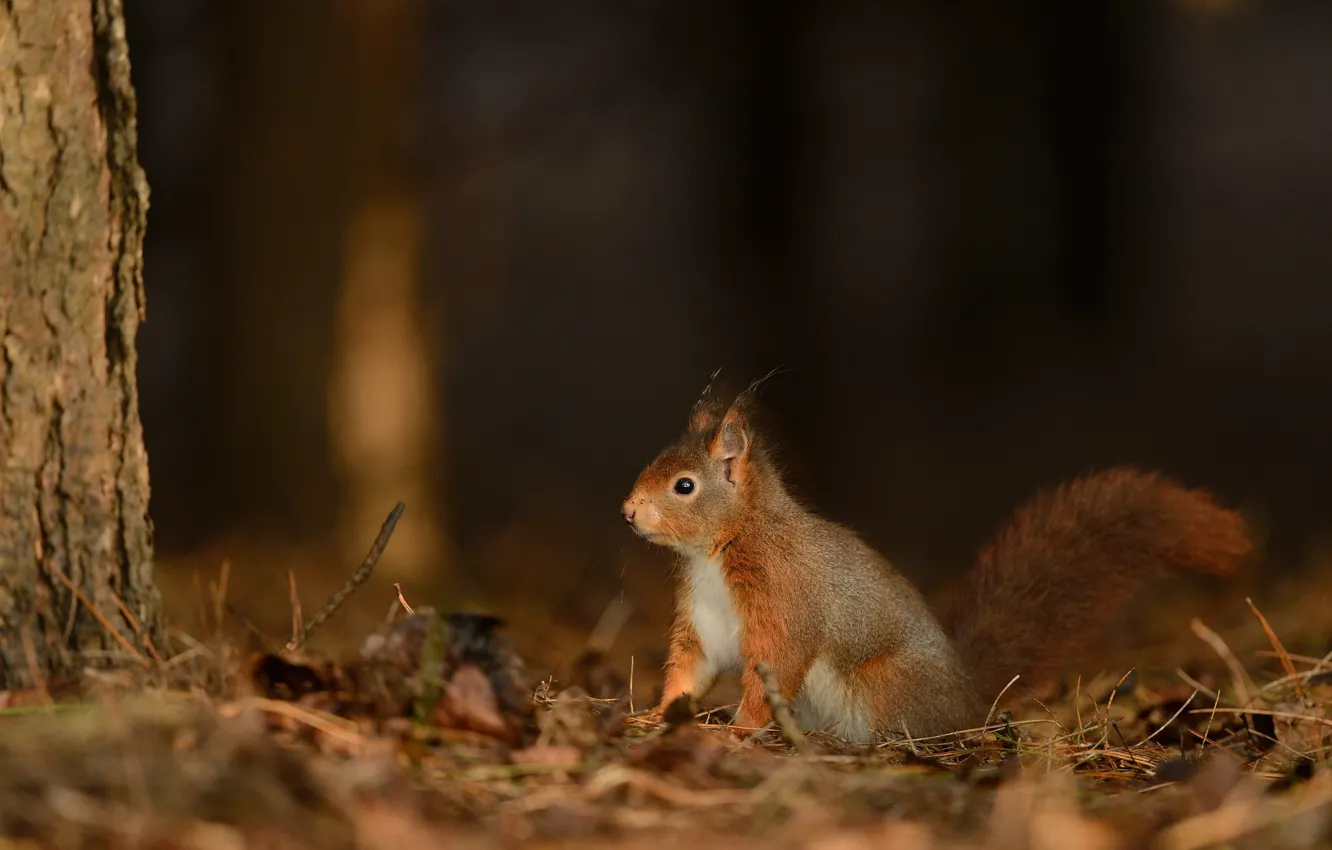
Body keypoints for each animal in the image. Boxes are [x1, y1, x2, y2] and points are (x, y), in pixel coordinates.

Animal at [618, 383, 1252, 740]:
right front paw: (656, 715)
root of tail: (967, 698)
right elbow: (691, 669)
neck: (719, 550)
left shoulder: (782, 599)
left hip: (881, 687)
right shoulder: (702, 620)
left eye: (683, 485)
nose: (627, 511)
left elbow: (775, 666)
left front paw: (741, 729)